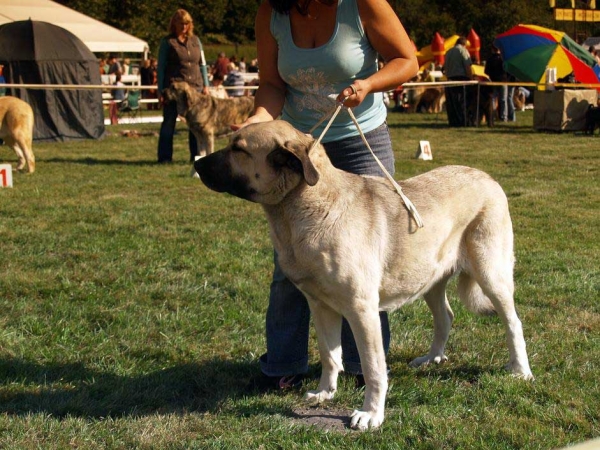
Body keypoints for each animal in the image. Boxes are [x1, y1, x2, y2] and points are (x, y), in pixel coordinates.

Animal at [195, 121, 532, 430]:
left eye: (238, 149)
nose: (196, 163)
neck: (304, 207)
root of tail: (489, 178)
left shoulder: (361, 310)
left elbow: (373, 368)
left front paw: (371, 414)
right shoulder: (320, 306)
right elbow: (330, 355)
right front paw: (325, 393)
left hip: (491, 274)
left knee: (513, 322)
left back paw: (520, 370)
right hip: (429, 278)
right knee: (445, 317)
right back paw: (431, 358)